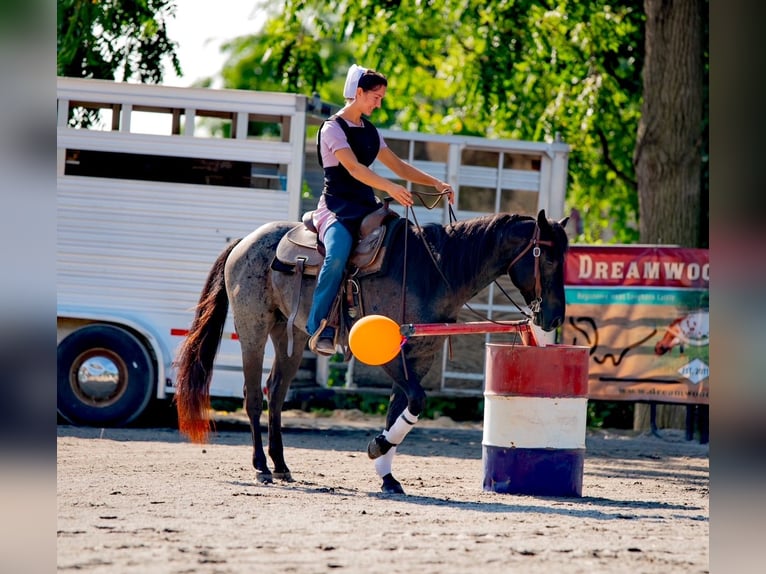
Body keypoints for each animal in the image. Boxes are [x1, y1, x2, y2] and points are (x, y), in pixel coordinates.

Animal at [176, 210, 568, 496]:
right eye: (547, 257)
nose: (555, 316)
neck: (432, 273)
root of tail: (245, 241)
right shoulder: (389, 356)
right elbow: (416, 400)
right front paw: (378, 449)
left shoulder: (419, 356)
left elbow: (401, 408)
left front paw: (386, 473)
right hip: (253, 328)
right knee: (254, 396)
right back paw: (260, 467)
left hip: (290, 335)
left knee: (276, 392)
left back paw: (281, 465)